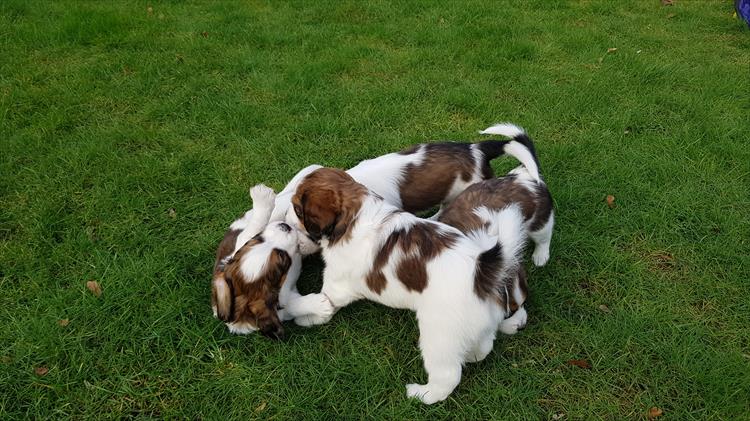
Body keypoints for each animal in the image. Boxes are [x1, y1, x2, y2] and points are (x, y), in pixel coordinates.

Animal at [286, 167, 527, 404]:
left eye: (297, 209)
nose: (286, 221)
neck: (356, 213)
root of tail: (483, 270)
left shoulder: (337, 285)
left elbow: (325, 303)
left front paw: (306, 318)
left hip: (439, 336)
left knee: (448, 376)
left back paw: (422, 394)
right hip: (478, 323)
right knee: (484, 346)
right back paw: (469, 355)